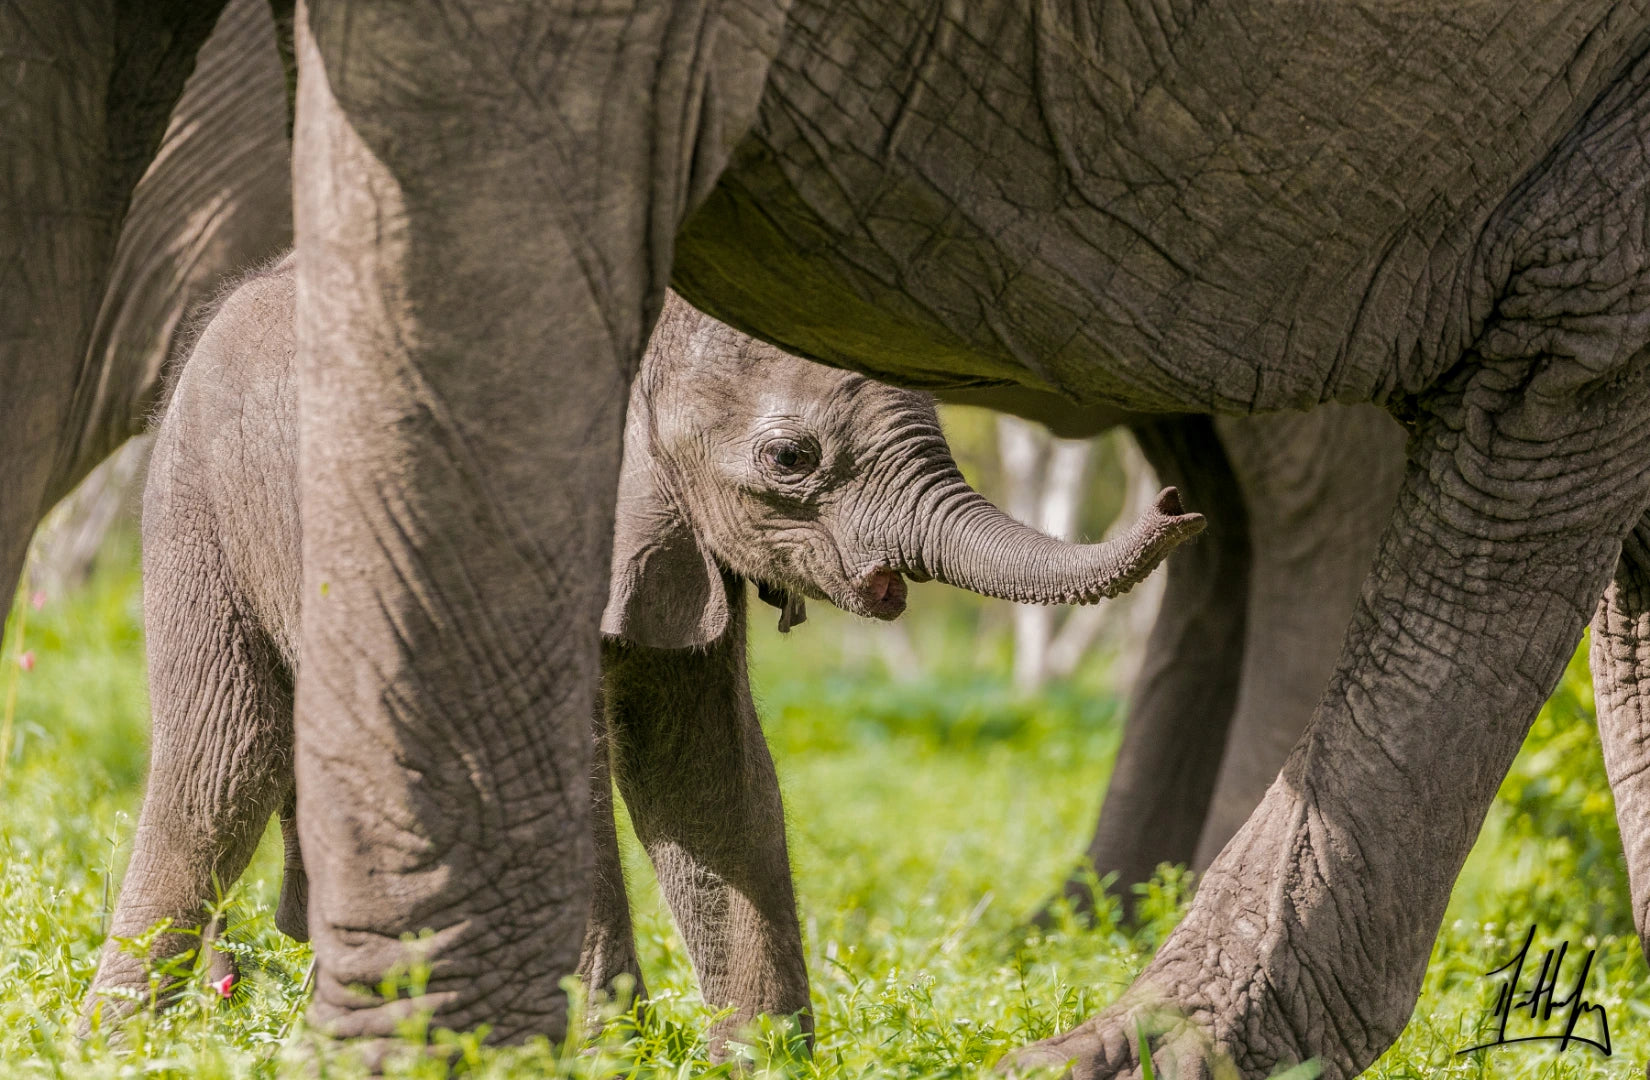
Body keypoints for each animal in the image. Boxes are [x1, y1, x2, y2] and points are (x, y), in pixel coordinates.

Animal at [80, 253, 1201, 1052]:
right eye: (790, 459)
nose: (1178, 502)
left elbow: (702, 763)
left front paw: (757, 1058)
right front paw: (605, 1050)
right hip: (195, 503)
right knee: (224, 759)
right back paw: (119, 1040)